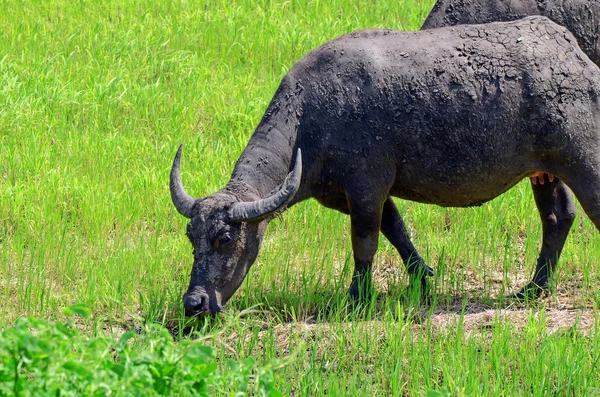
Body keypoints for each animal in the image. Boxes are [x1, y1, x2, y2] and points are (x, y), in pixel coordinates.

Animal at [171, 16, 600, 316]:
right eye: (192, 238)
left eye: (224, 240)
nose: (194, 304)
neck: (309, 120)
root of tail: (577, 60)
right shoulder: (354, 195)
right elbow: (396, 230)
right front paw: (423, 279)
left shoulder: (366, 187)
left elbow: (365, 242)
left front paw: (357, 297)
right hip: (545, 172)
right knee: (558, 218)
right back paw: (534, 288)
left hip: (583, 162)